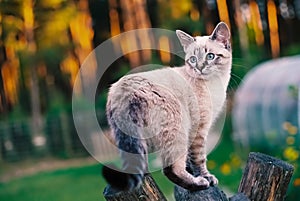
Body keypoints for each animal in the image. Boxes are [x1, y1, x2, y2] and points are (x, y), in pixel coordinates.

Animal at [102, 22, 231, 192]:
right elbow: (199, 158)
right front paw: (206, 177)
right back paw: (199, 183)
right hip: (178, 128)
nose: (199, 68)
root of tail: (125, 90)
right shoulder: (199, 128)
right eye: (193, 59)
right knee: (170, 169)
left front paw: (193, 171)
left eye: (210, 56)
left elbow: (190, 159)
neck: (215, 83)